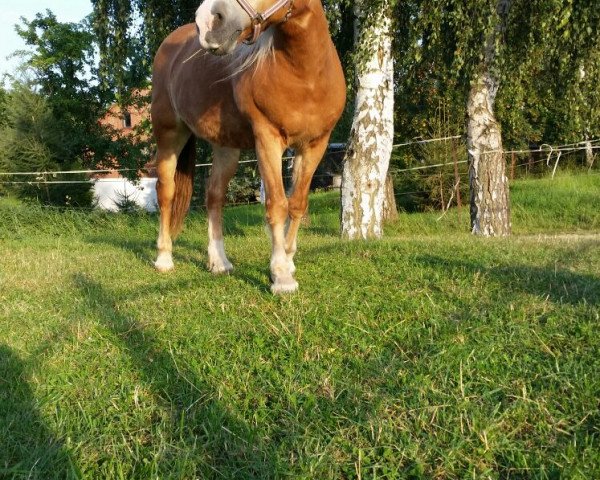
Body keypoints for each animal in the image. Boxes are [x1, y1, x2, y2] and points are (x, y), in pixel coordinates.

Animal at [152, 0, 344, 294]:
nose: (208, 22)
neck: (306, 76)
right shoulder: (267, 139)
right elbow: (277, 204)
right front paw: (281, 275)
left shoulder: (315, 145)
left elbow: (297, 203)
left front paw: (288, 261)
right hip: (170, 135)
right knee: (166, 192)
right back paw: (164, 258)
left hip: (225, 147)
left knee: (214, 196)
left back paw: (219, 262)